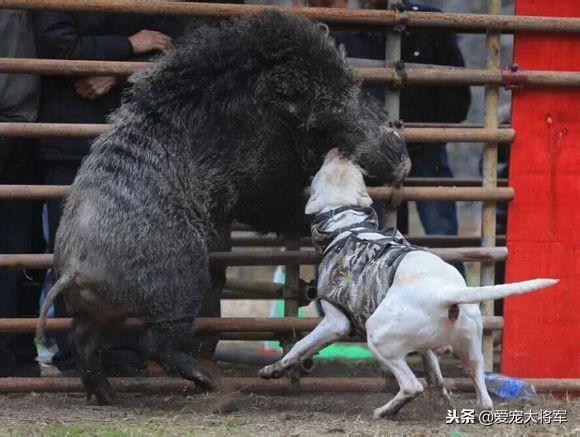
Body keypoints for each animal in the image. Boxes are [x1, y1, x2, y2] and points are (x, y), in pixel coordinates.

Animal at [260, 148, 556, 418]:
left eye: (321, 172)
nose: (340, 150)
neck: (347, 226)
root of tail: (446, 293)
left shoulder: (336, 321)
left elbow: (300, 346)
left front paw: (274, 369)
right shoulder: (425, 347)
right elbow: (434, 372)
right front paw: (442, 399)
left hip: (378, 336)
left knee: (412, 386)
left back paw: (384, 411)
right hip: (470, 348)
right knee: (481, 391)